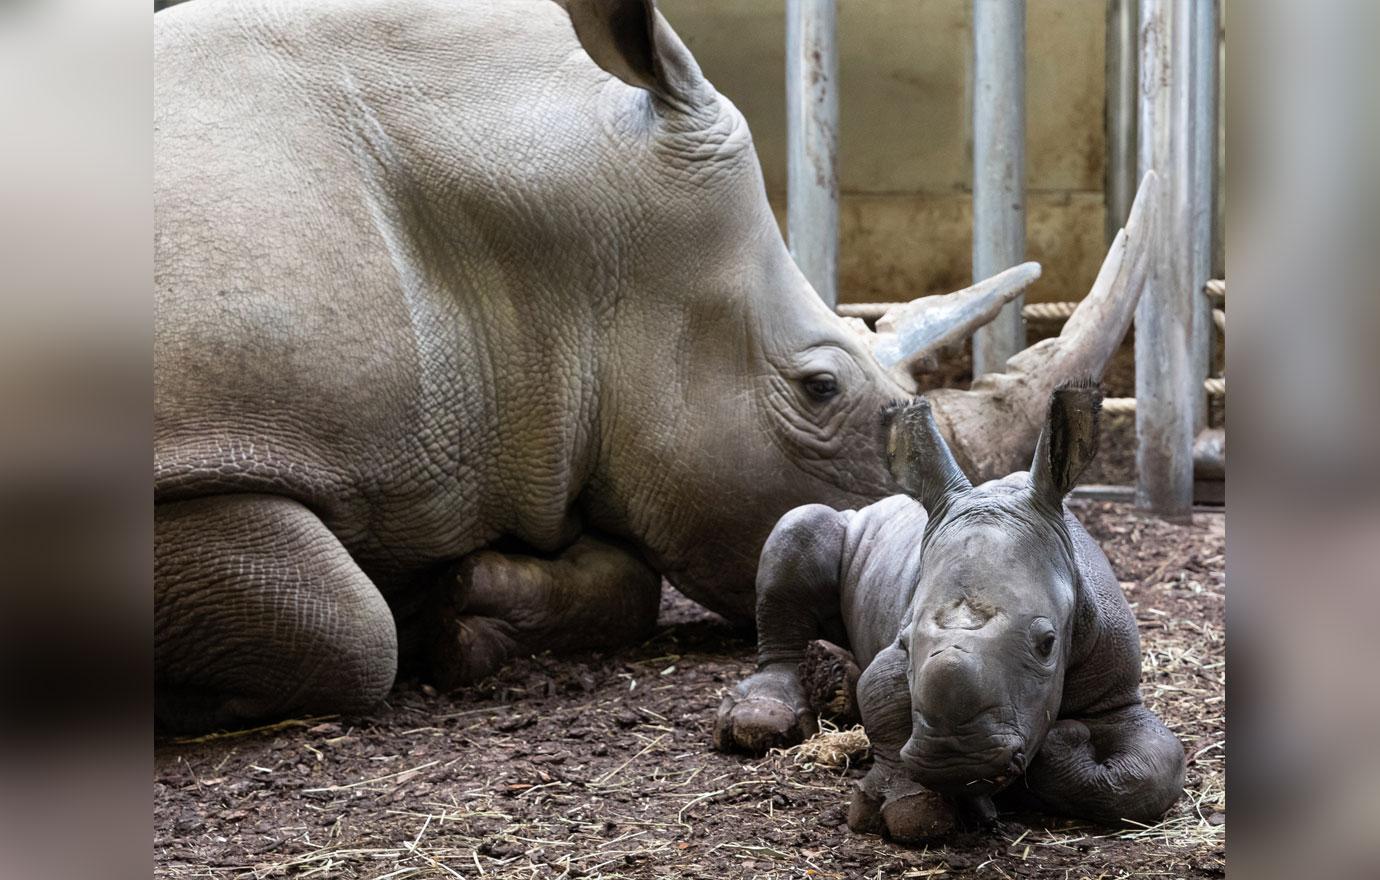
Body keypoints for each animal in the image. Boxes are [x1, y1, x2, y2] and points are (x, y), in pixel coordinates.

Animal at [717, 383, 1181, 838]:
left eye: (1048, 644)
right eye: (905, 643)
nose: (955, 761)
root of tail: (872, 504)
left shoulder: (1116, 690)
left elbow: (1153, 772)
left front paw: (1059, 745)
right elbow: (883, 696)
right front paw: (911, 810)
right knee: (800, 525)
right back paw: (765, 715)